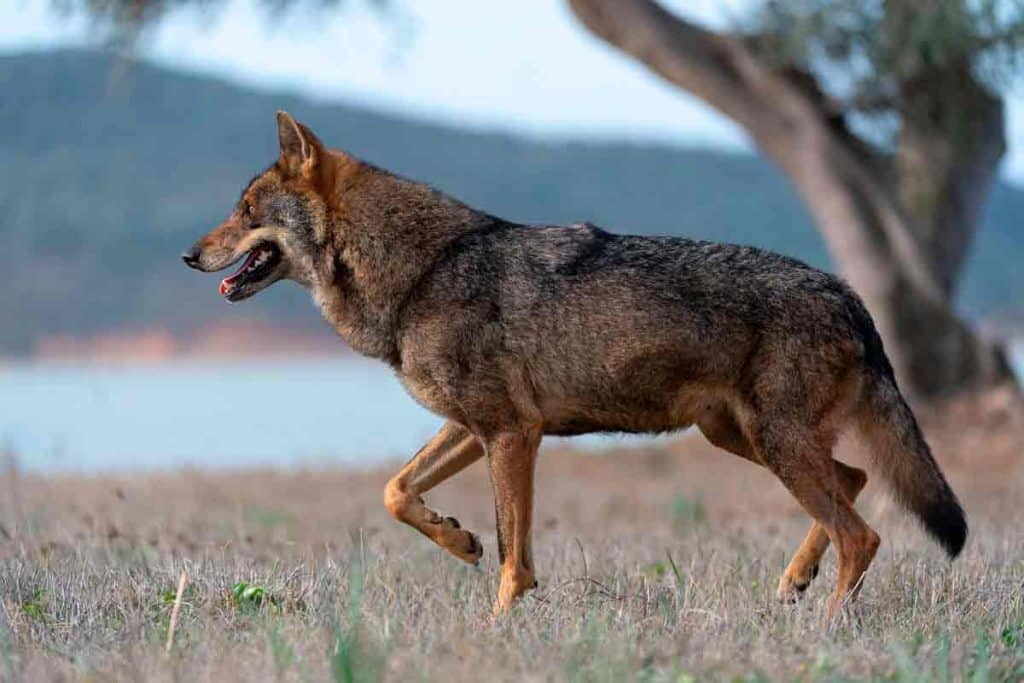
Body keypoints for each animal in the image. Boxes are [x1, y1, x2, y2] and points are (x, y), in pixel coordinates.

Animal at [183, 112, 966, 617]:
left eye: (246, 210)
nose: (190, 255)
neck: (423, 271)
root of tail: (849, 293)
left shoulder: (509, 433)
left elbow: (512, 553)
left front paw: (500, 626)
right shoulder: (475, 428)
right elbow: (397, 493)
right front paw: (458, 539)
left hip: (773, 445)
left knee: (862, 533)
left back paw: (827, 625)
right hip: (741, 437)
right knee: (856, 482)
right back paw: (795, 583)